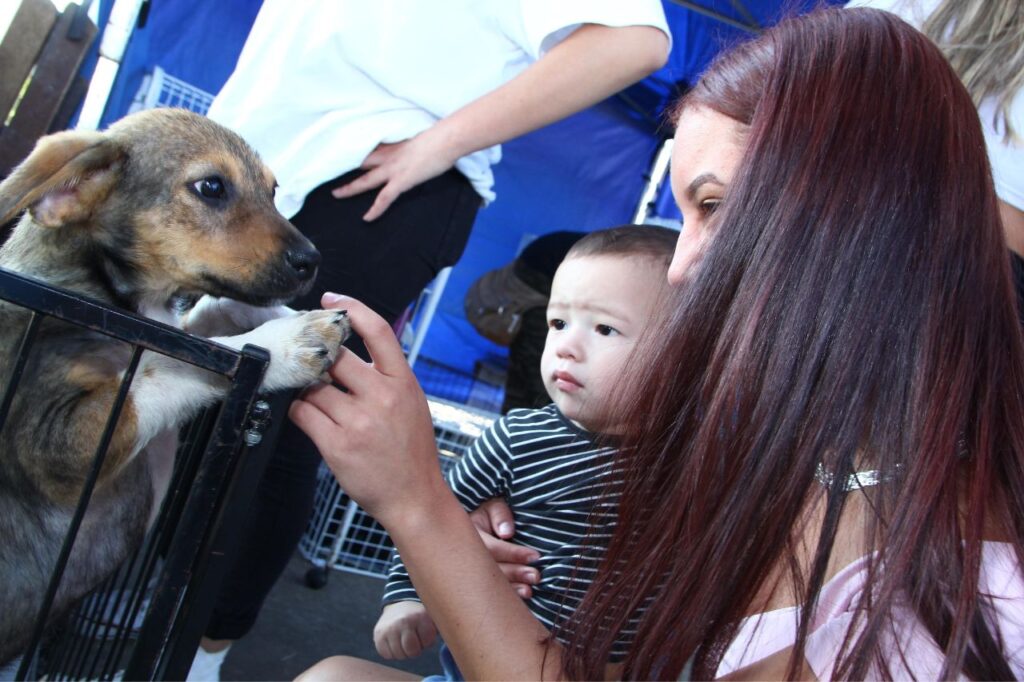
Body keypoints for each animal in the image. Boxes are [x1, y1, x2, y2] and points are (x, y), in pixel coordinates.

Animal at [0, 109, 350, 659]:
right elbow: (177, 367)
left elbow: (209, 315)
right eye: (211, 187)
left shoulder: (175, 328)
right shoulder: (56, 444)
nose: (311, 261)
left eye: (273, 190)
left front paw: (284, 316)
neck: (97, 293)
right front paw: (285, 341)